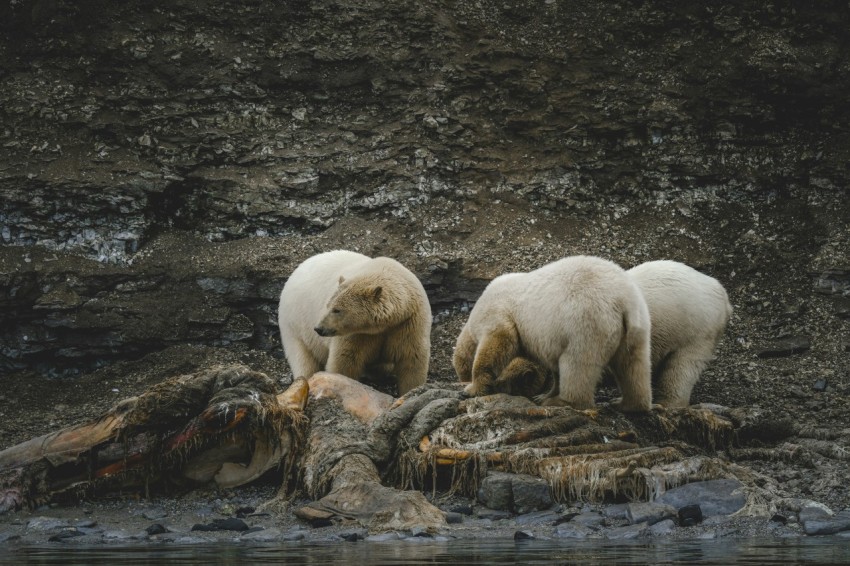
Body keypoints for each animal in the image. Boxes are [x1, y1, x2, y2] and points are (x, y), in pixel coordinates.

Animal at [276, 251, 428, 398]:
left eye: (336, 310)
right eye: (328, 306)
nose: (319, 328)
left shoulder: (407, 324)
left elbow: (412, 360)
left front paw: (411, 391)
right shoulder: (357, 334)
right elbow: (345, 360)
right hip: (295, 324)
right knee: (302, 358)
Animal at [450, 256, 648, 412]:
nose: (462, 380)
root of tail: (622, 299)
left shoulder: (496, 313)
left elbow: (498, 343)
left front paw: (471, 388)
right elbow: (554, 365)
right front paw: (543, 394)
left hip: (586, 321)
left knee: (577, 364)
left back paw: (563, 401)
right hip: (636, 323)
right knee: (632, 364)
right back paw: (628, 404)